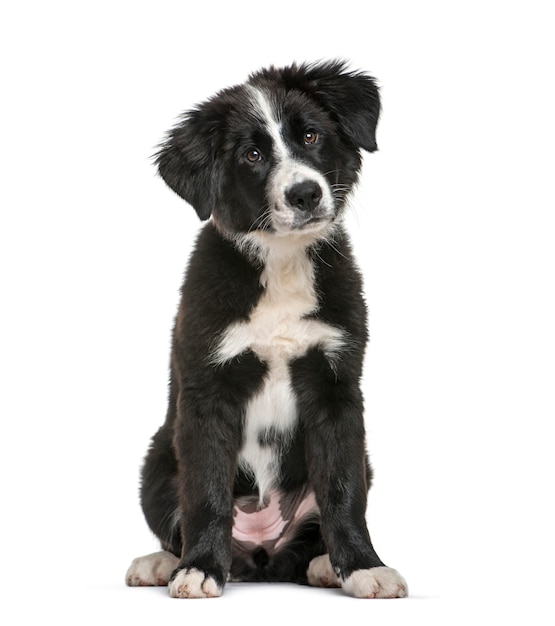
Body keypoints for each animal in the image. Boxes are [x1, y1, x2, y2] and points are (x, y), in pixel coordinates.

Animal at [128, 61, 410, 596]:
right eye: (253, 155)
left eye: (311, 135)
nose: (306, 193)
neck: (281, 263)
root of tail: (259, 557)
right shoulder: (207, 390)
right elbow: (207, 492)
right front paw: (198, 568)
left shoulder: (337, 387)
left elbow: (343, 491)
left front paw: (364, 567)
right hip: (157, 459)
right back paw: (161, 562)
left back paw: (323, 565)